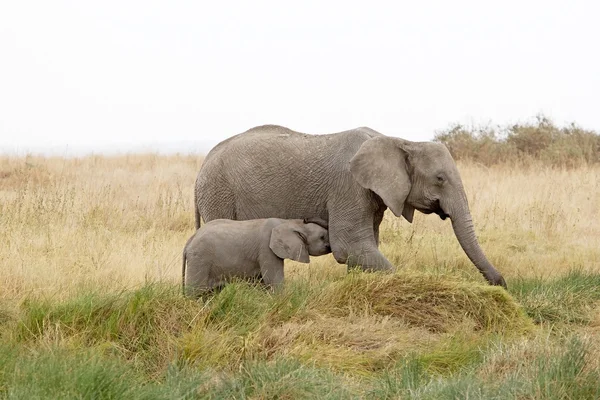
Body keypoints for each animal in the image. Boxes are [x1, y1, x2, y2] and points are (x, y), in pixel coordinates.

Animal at [183, 216, 332, 296]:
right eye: (322, 237)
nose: (306, 218)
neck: (287, 222)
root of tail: (189, 241)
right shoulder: (266, 249)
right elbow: (273, 280)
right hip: (200, 259)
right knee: (195, 292)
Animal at [196, 125, 506, 288]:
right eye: (440, 179)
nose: (501, 284)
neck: (399, 141)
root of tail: (203, 163)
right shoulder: (349, 186)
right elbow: (350, 247)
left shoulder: (374, 197)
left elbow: (365, 249)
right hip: (219, 194)